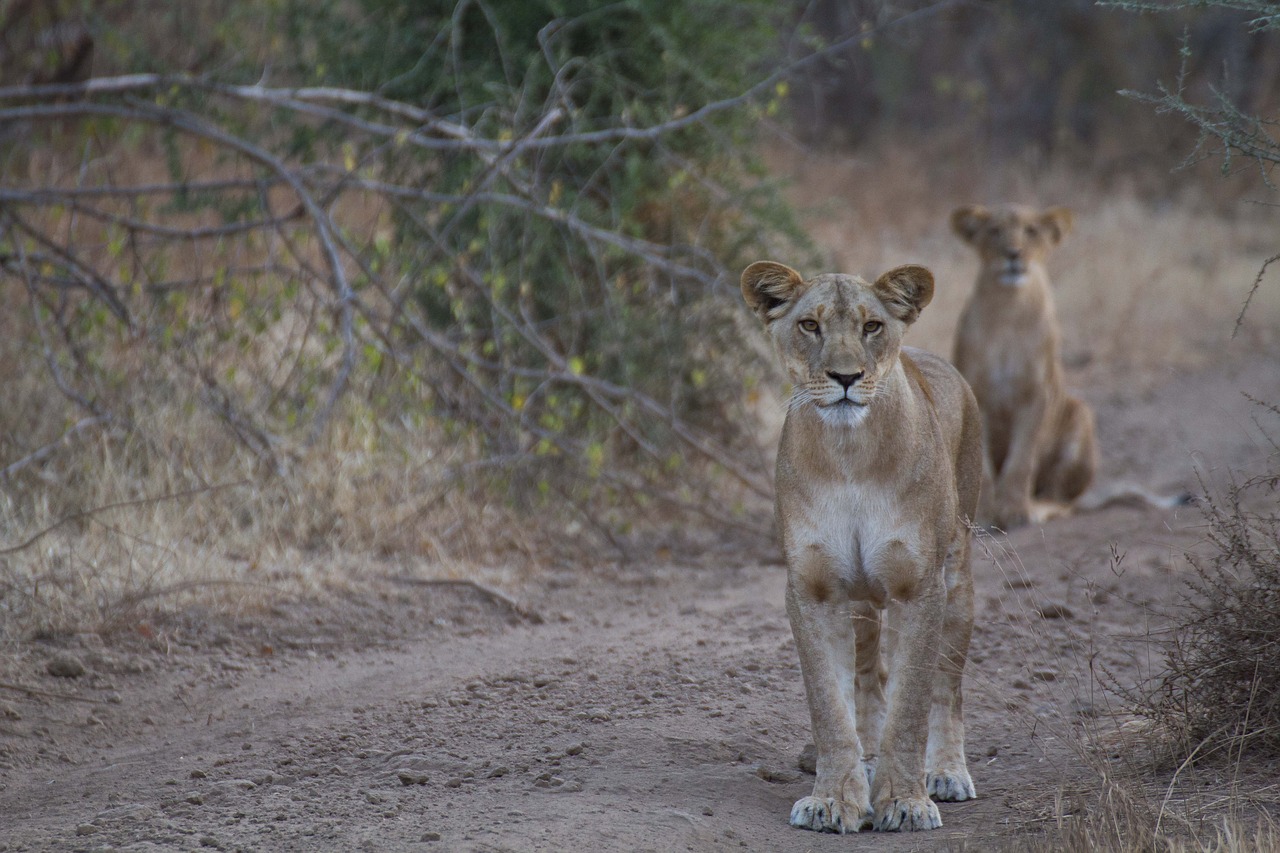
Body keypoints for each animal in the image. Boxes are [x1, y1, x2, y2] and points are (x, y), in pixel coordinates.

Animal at [742, 261, 977, 829]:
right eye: (810, 325)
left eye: (872, 326)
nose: (846, 378)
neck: (849, 454)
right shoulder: (812, 589)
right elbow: (831, 705)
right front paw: (834, 799)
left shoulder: (920, 587)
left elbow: (912, 703)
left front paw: (906, 802)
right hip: (863, 600)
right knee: (870, 675)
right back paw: (868, 765)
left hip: (959, 578)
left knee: (948, 684)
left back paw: (946, 773)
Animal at [952, 204, 1100, 525]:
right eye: (994, 231)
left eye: (1031, 231)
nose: (1013, 253)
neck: (1009, 308)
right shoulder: (976, 393)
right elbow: (983, 465)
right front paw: (983, 514)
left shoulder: (1037, 394)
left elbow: (1022, 459)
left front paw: (1015, 510)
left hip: (1080, 413)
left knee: (1061, 499)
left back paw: (1037, 510)